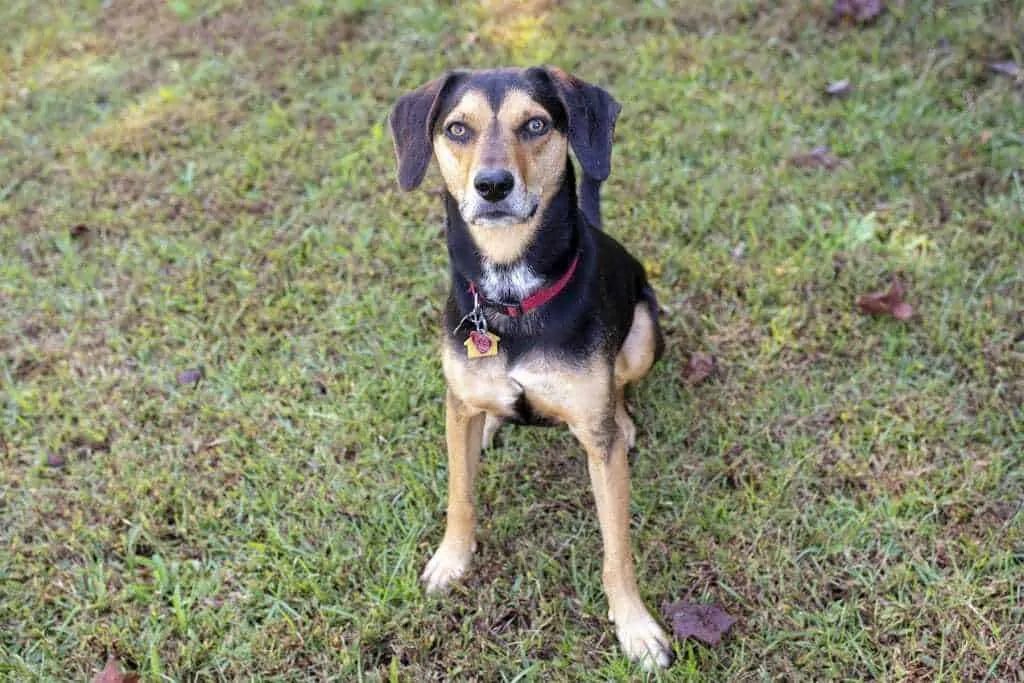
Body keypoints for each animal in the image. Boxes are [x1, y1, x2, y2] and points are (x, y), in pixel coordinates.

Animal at [385, 68, 671, 667]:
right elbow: (460, 497)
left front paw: (635, 628)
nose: (492, 186)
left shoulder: (600, 450)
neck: (511, 293)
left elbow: (617, 548)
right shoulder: (456, 407)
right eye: (457, 128)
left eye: (536, 124)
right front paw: (451, 561)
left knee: (621, 385)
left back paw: (623, 418)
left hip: (643, 333)